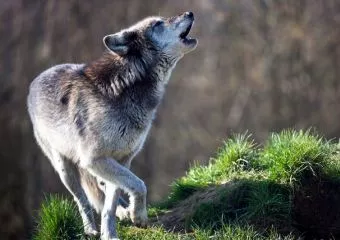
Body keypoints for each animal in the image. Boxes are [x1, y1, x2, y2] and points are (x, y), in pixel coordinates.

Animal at [27, 11, 198, 240]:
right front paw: (137, 216)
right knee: (82, 199)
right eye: (158, 23)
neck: (126, 89)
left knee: (102, 187)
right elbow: (139, 185)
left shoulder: (122, 159)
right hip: (65, 168)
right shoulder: (94, 159)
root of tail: (35, 81)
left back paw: (121, 212)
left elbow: (114, 199)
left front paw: (113, 230)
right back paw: (91, 229)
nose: (190, 13)